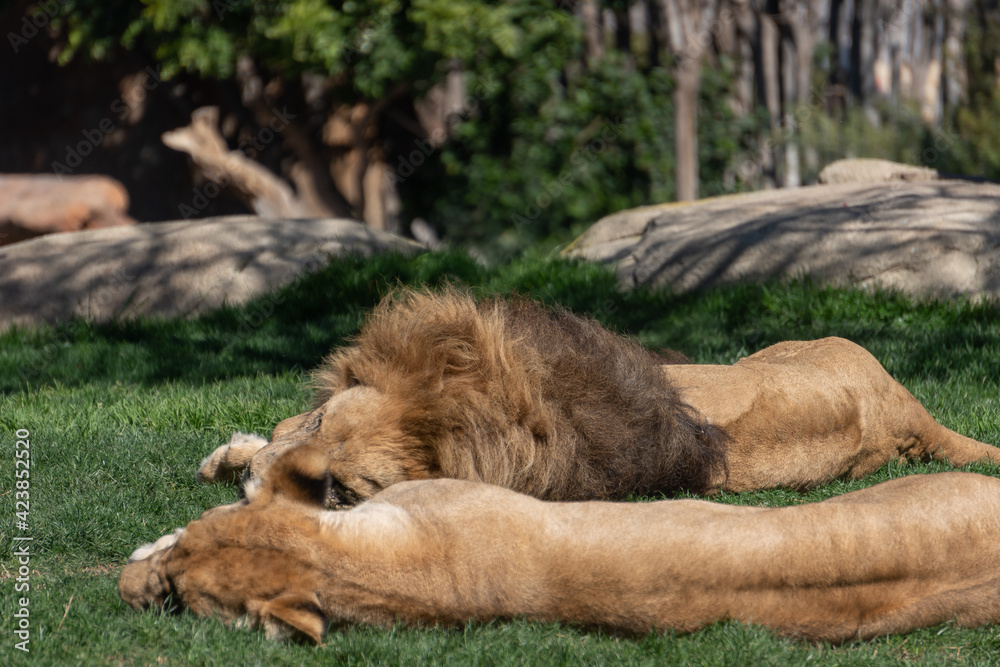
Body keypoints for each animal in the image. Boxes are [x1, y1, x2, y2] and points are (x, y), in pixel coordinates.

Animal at [197, 289, 1000, 505]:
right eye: (323, 425)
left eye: (342, 491)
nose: (252, 488)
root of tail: (906, 404)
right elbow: (280, 421)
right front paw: (236, 453)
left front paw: (238, 458)